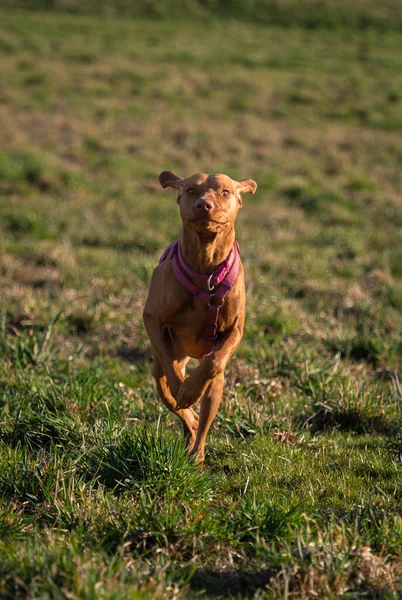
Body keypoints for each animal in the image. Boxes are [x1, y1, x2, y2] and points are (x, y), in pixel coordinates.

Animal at [144, 171, 258, 462]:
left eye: (225, 192)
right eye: (191, 191)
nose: (204, 205)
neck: (206, 267)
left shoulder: (234, 331)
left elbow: (215, 362)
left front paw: (192, 389)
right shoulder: (152, 318)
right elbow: (173, 377)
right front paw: (182, 389)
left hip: (216, 385)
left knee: (205, 409)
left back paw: (197, 452)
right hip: (163, 368)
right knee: (177, 402)